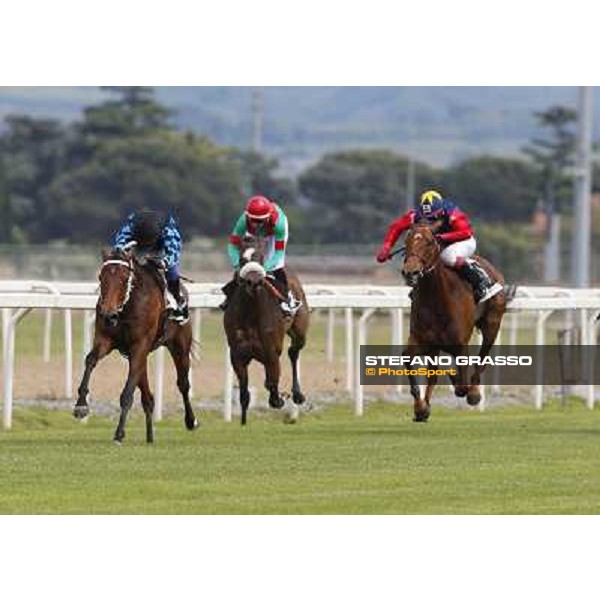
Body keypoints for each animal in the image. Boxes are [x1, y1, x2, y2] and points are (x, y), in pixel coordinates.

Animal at [73, 245, 199, 446]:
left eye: (125, 278)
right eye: (101, 277)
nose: (108, 314)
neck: (127, 307)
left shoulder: (139, 345)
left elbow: (127, 393)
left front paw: (119, 433)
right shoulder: (106, 340)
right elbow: (90, 359)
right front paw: (81, 405)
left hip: (179, 345)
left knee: (183, 383)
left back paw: (190, 420)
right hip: (140, 356)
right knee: (148, 397)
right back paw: (149, 436)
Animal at [224, 236, 312, 426]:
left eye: (261, 258)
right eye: (242, 260)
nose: (254, 281)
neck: (251, 314)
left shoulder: (271, 352)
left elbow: (273, 384)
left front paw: (280, 398)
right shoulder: (237, 355)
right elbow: (244, 394)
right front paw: (243, 422)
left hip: (300, 332)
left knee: (293, 352)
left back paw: (297, 394)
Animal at [400, 223, 508, 424]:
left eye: (429, 242)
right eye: (406, 241)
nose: (410, 272)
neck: (437, 299)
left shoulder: (460, 345)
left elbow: (462, 385)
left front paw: (459, 383)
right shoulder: (421, 339)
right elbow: (408, 360)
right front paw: (420, 408)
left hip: (492, 324)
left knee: (482, 358)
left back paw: (474, 392)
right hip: (434, 346)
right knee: (432, 376)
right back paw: (426, 406)